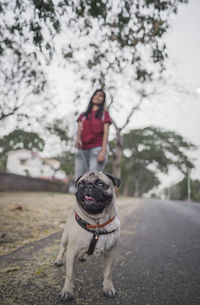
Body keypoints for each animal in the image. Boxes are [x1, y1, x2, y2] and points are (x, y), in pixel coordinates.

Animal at [54, 170, 120, 300]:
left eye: (100, 184)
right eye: (80, 185)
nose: (88, 186)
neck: (97, 225)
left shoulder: (111, 253)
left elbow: (108, 273)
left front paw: (108, 288)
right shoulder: (72, 252)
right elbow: (69, 274)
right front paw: (67, 291)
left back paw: (83, 255)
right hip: (65, 237)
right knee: (62, 248)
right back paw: (59, 260)